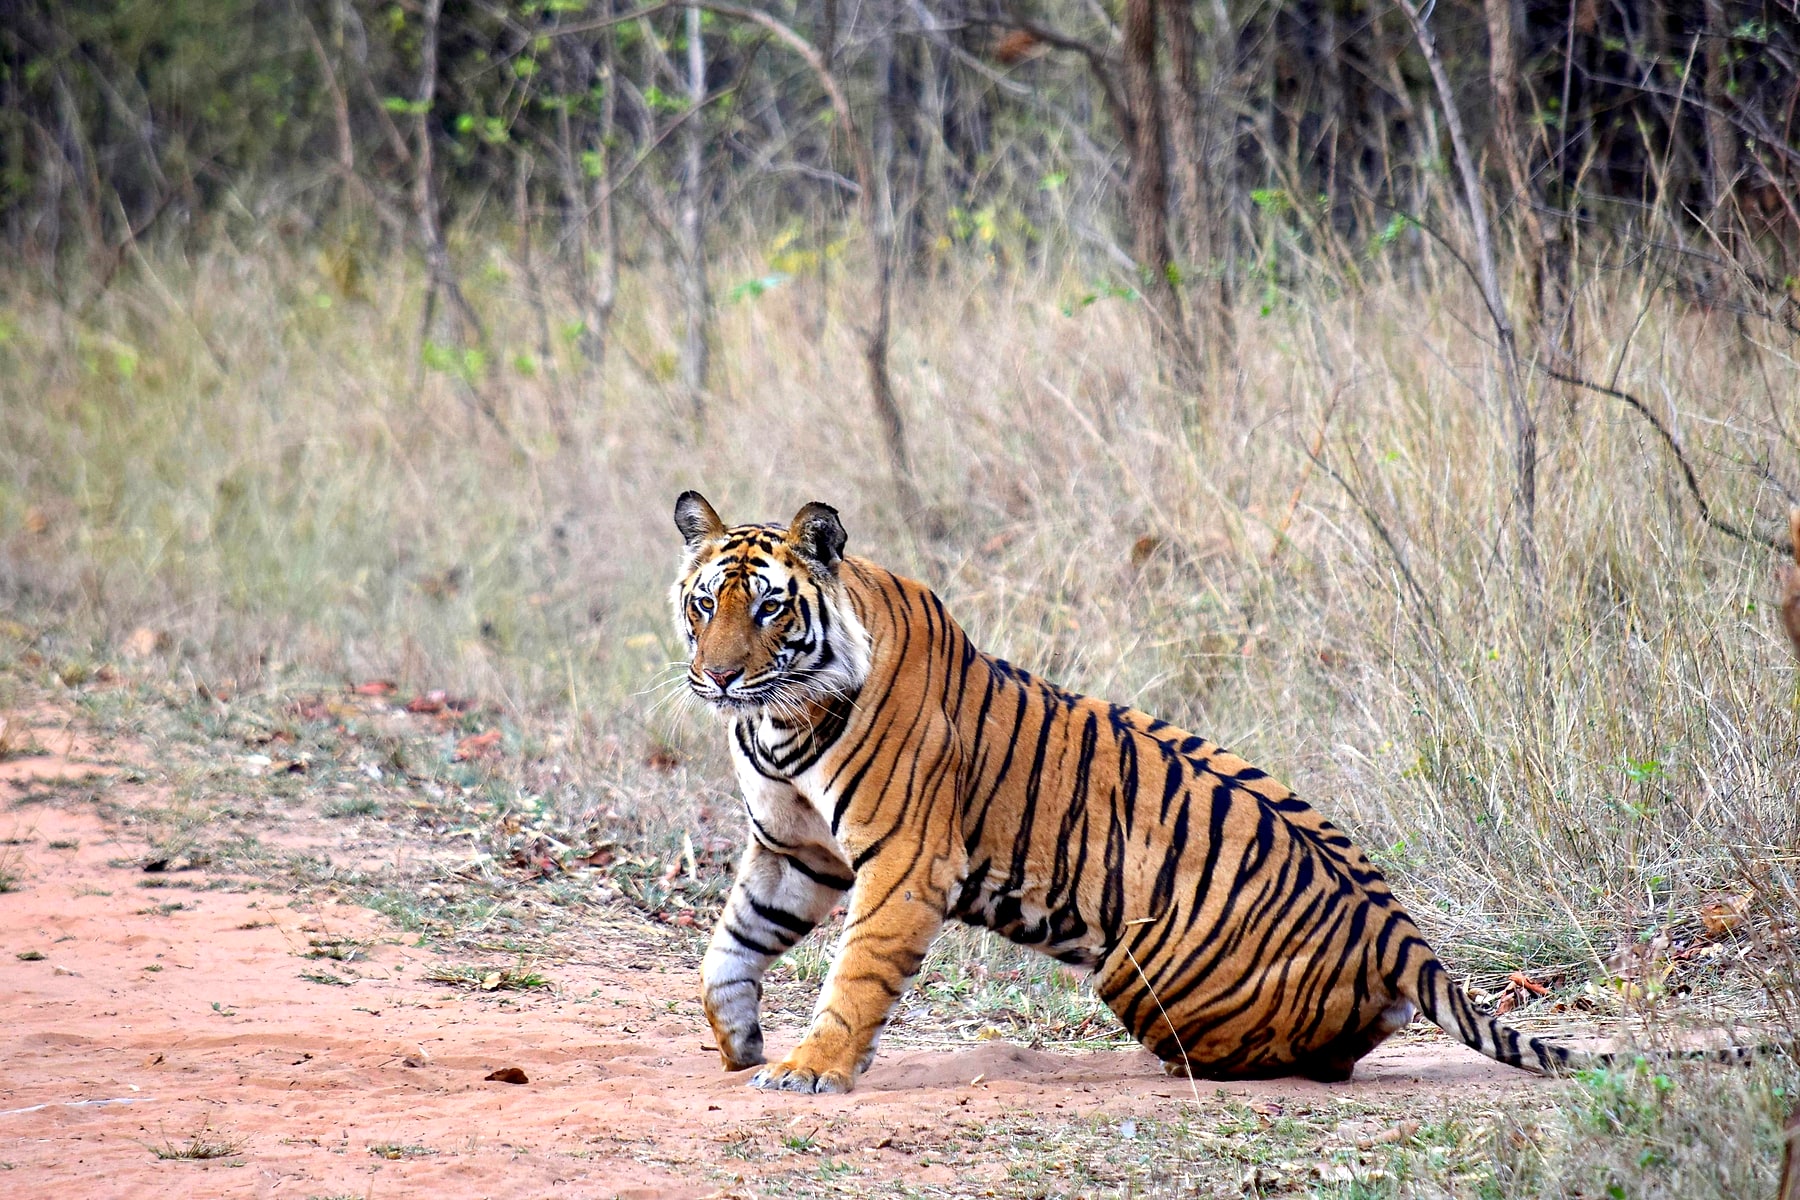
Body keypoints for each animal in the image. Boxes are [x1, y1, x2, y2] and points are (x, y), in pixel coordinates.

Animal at [670, 491, 1602, 1092]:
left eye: (769, 610)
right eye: (704, 604)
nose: (716, 678)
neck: (778, 724)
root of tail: (1399, 930)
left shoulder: (904, 861)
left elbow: (857, 971)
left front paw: (810, 1070)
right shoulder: (794, 849)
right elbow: (731, 947)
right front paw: (740, 1043)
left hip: (1136, 972)